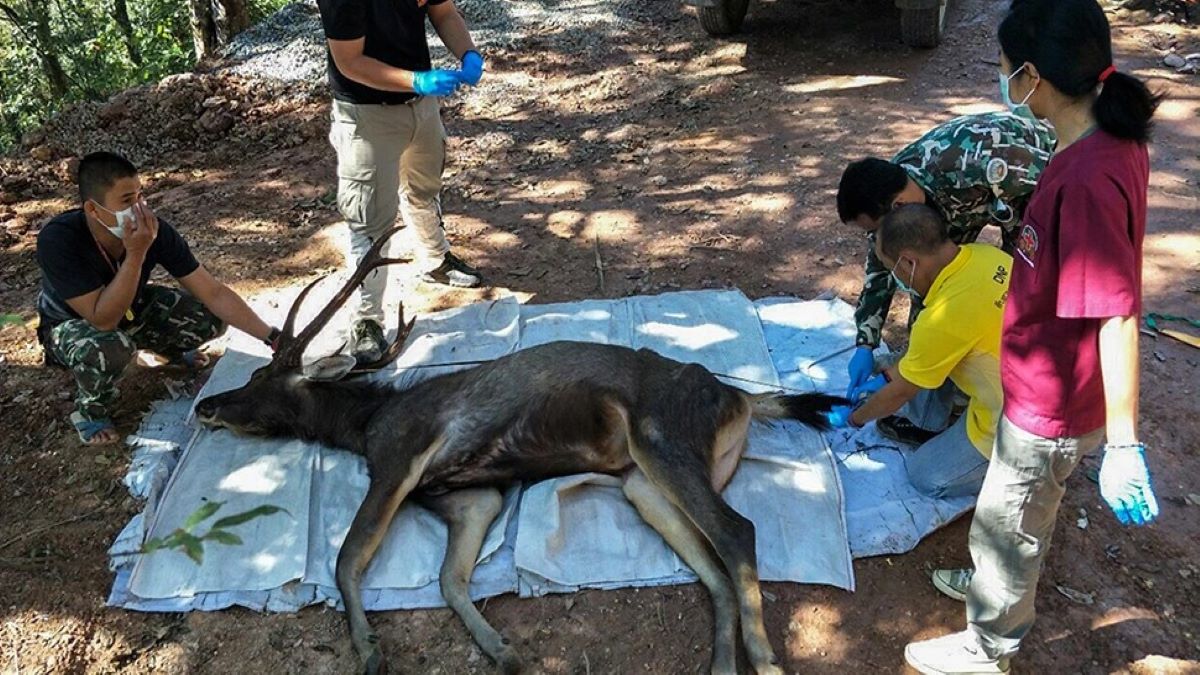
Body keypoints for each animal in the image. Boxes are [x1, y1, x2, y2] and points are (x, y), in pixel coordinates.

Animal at [194, 225, 844, 672]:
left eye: (259, 380)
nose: (207, 407)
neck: (364, 422)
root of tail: (741, 399)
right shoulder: (470, 494)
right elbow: (449, 578)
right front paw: (501, 650)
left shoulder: (400, 456)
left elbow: (346, 558)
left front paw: (370, 650)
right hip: (642, 483)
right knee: (714, 571)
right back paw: (723, 664)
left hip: (662, 438)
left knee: (738, 532)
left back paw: (766, 660)